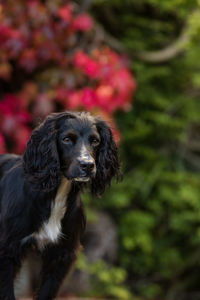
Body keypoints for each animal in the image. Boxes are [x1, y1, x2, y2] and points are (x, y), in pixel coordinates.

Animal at [0, 112, 120, 300]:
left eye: (95, 140)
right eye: (66, 139)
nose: (87, 165)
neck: (55, 196)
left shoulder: (62, 254)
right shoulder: (7, 250)